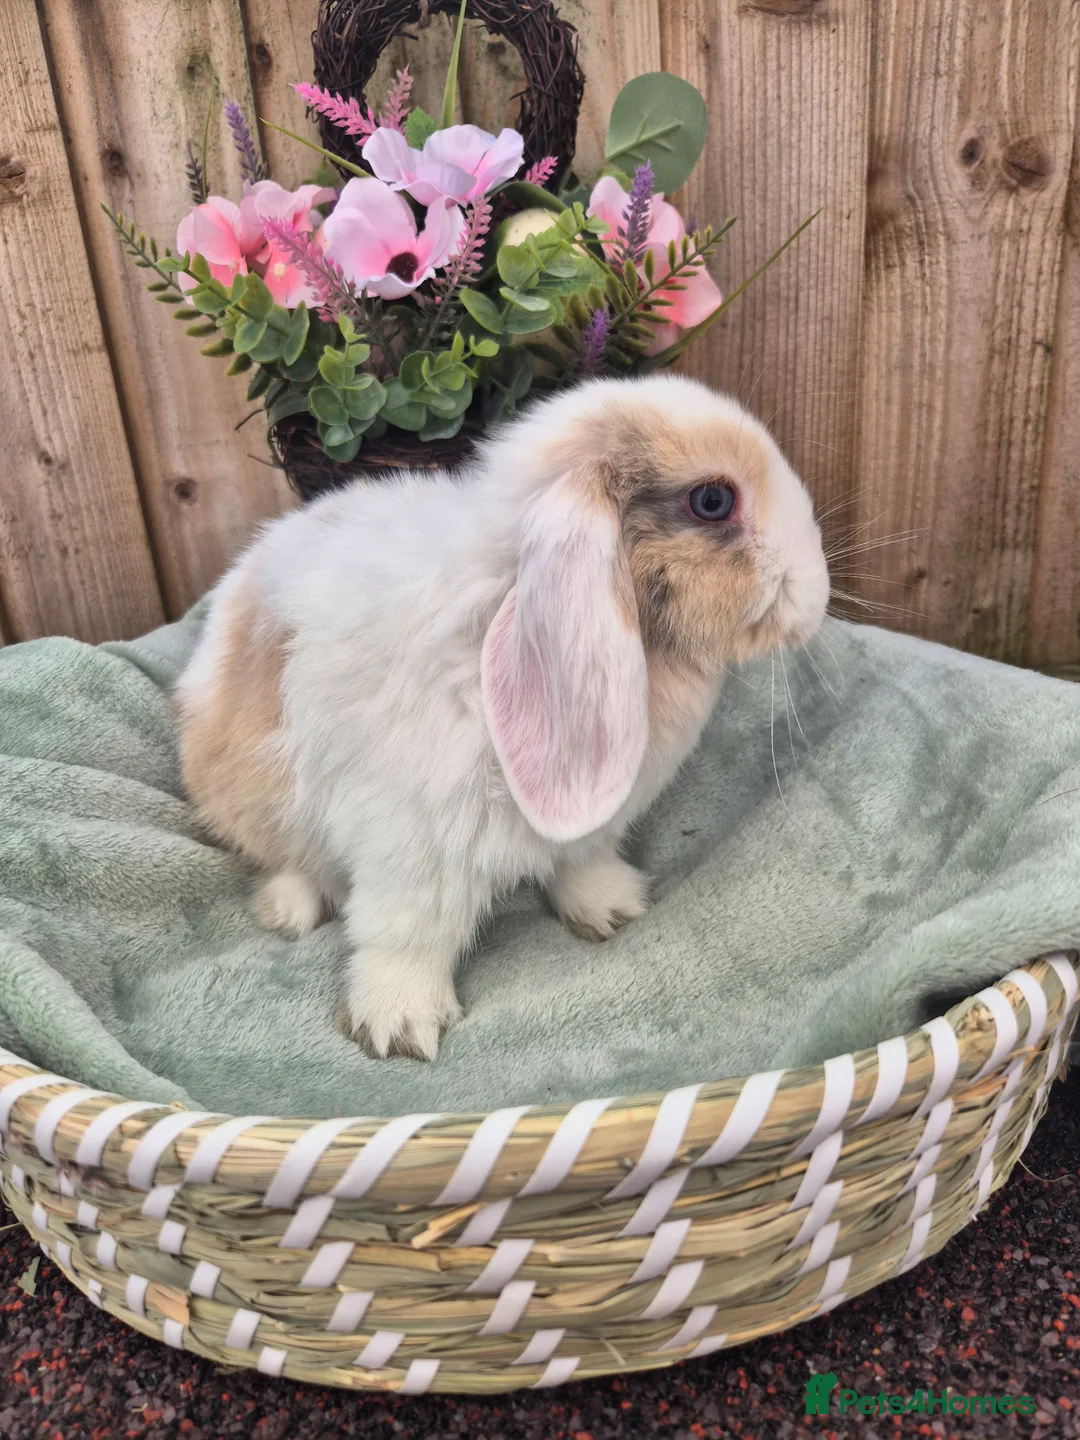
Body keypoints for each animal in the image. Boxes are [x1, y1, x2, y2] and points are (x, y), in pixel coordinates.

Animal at [175, 374, 830, 1060]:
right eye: (712, 500)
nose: (818, 594)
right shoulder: (410, 847)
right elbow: (404, 935)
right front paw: (397, 1025)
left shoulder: (588, 829)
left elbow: (581, 866)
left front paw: (615, 909)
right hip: (250, 800)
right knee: (284, 857)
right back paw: (291, 911)